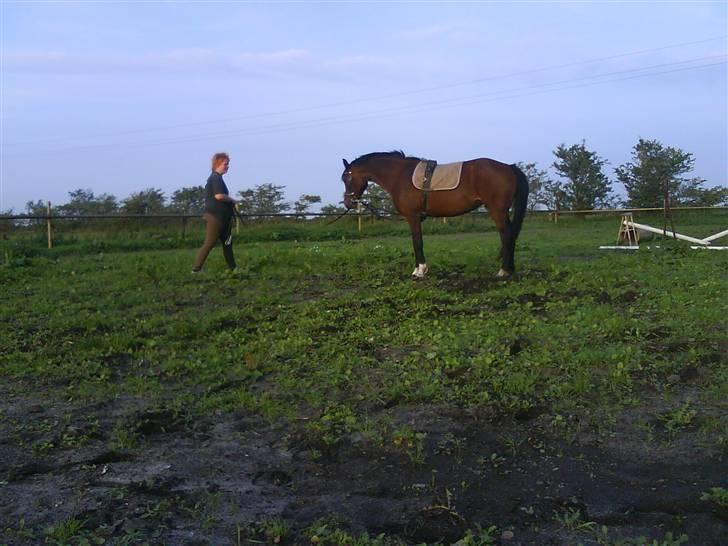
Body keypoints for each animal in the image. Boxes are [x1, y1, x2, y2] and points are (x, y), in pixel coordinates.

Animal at [342, 151, 528, 278]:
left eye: (348, 178)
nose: (348, 203)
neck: (400, 176)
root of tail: (509, 167)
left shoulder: (413, 216)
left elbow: (417, 242)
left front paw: (420, 271)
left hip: (497, 210)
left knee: (507, 235)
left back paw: (503, 271)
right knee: (511, 235)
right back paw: (510, 269)